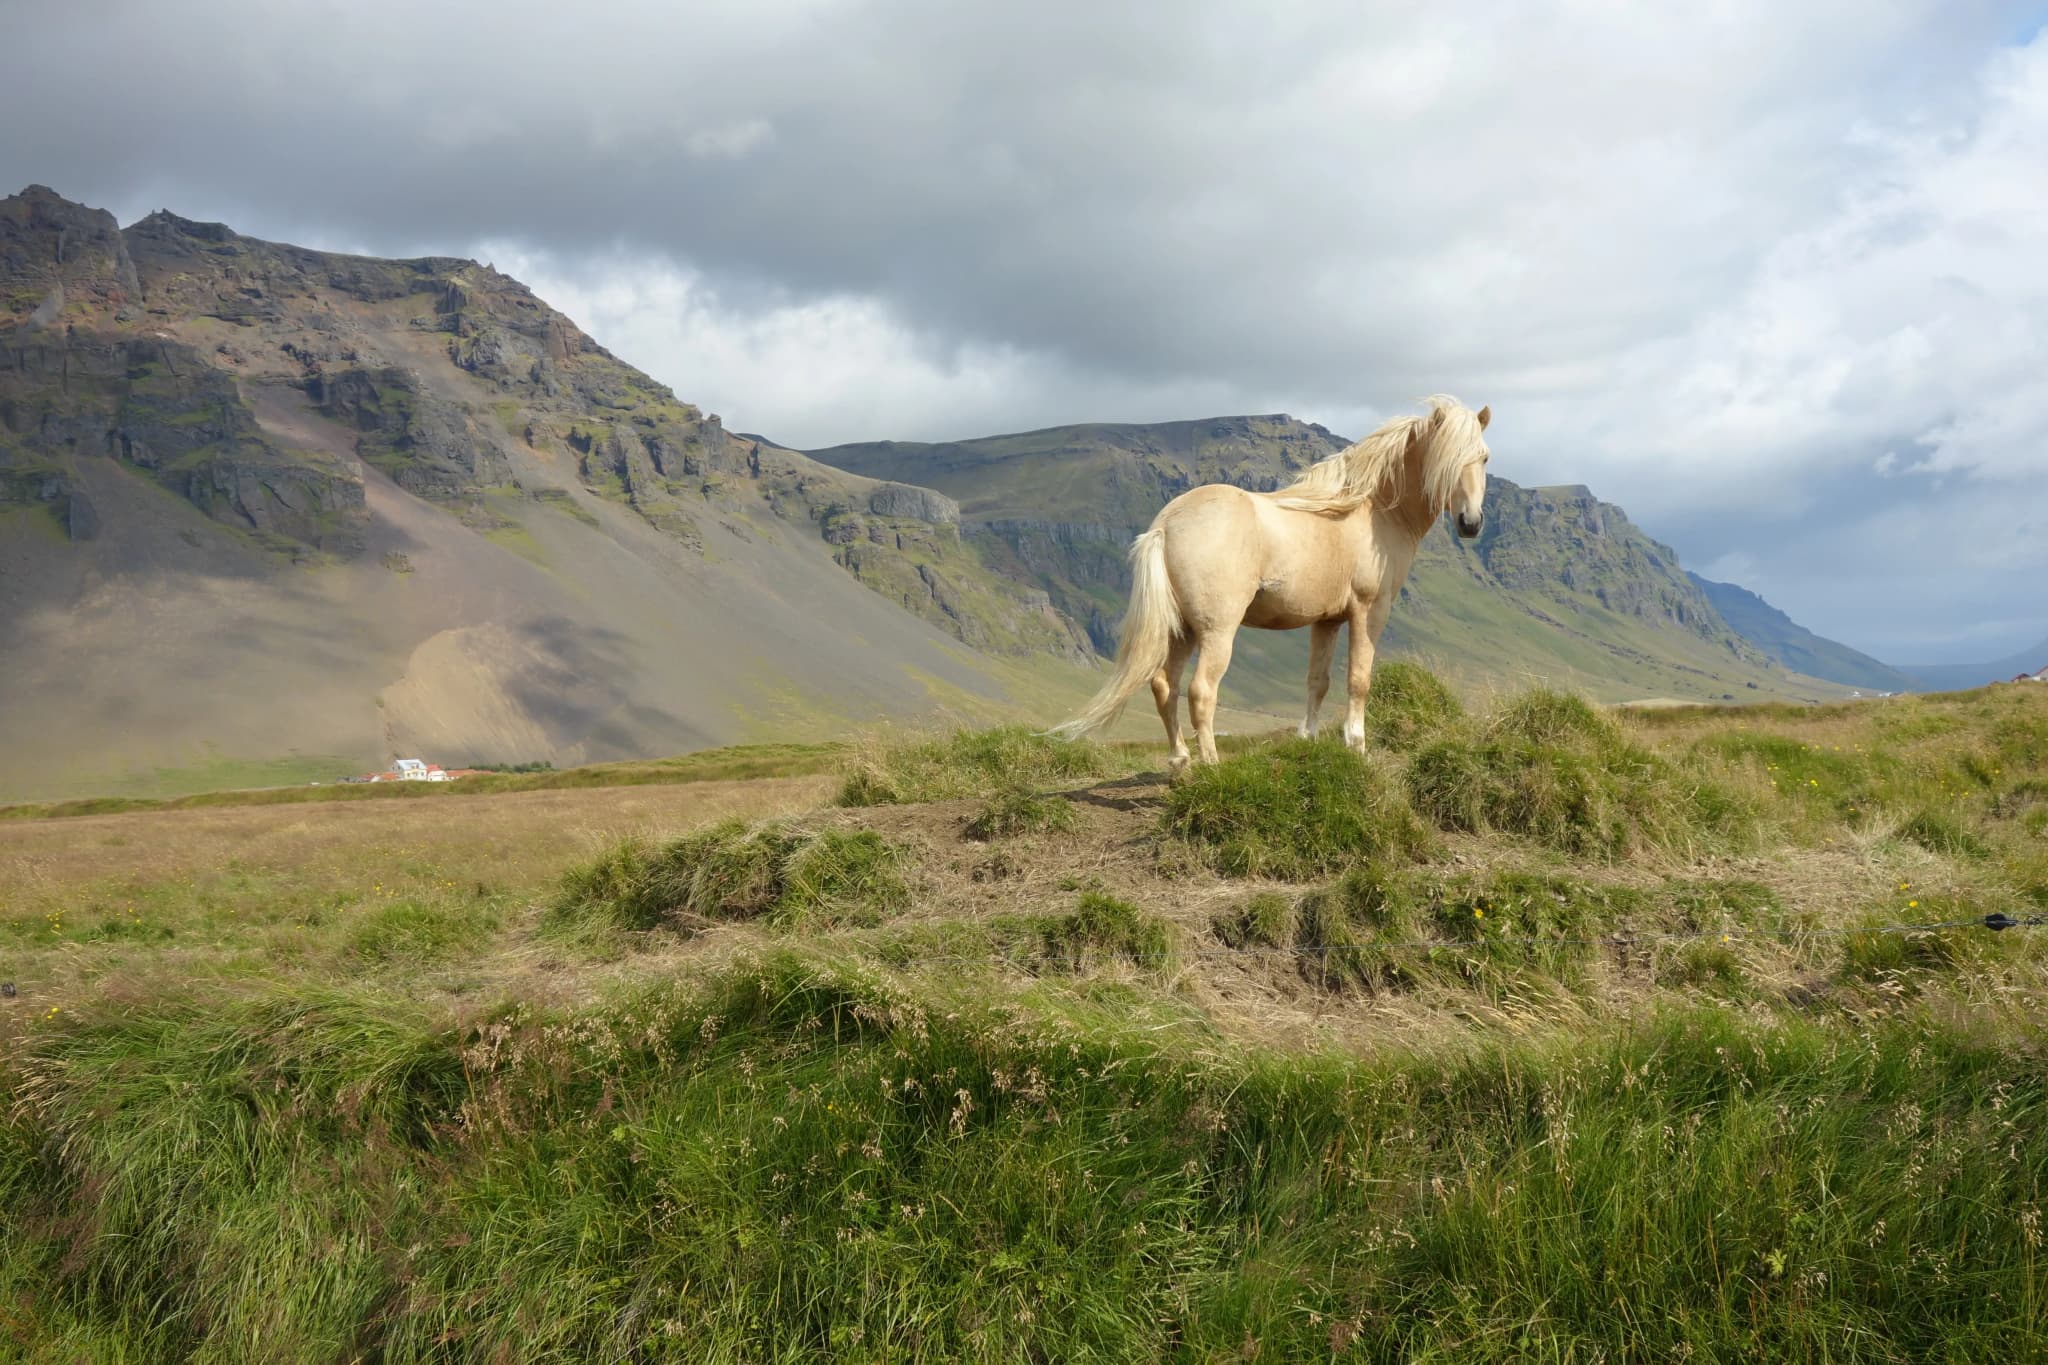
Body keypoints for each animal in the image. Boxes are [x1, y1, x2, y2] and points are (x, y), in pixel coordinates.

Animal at [1050, 395, 1492, 769]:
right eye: (1448, 458)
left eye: (1484, 457)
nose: (1470, 523)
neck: (1372, 508)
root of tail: (1165, 524)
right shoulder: (1370, 611)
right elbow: (1359, 680)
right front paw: (1357, 745)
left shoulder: (1327, 621)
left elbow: (1318, 682)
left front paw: (1307, 740)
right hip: (1216, 632)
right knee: (1201, 691)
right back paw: (1211, 764)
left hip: (1182, 632)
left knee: (1164, 687)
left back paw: (1180, 761)